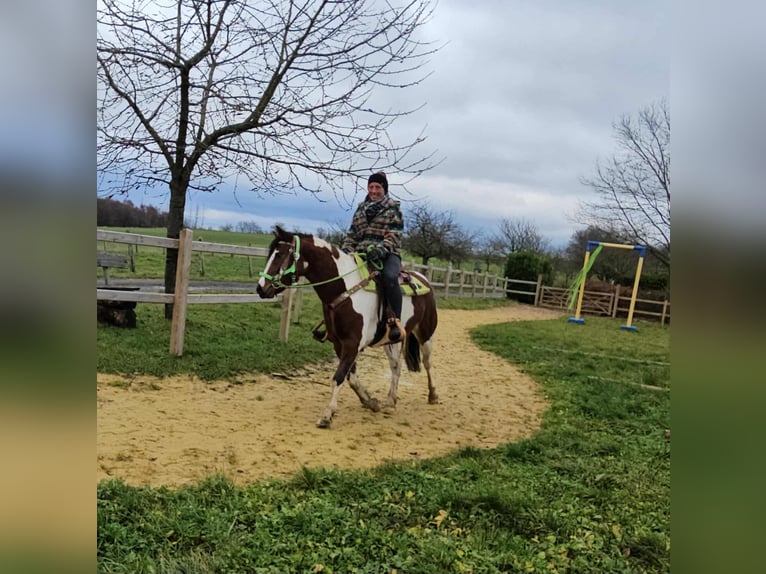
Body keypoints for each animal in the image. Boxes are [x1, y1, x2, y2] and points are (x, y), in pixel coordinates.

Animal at [256, 226, 439, 428]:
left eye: (279, 255)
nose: (261, 288)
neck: (344, 288)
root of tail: (424, 279)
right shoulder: (339, 344)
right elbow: (350, 377)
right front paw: (370, 402)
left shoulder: (352, 344)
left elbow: (339, 376)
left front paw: (327, 415)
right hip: (392, 340)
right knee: (396, 367)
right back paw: (391, 401)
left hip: (425, 334)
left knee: (428, 363)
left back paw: (432, 395)